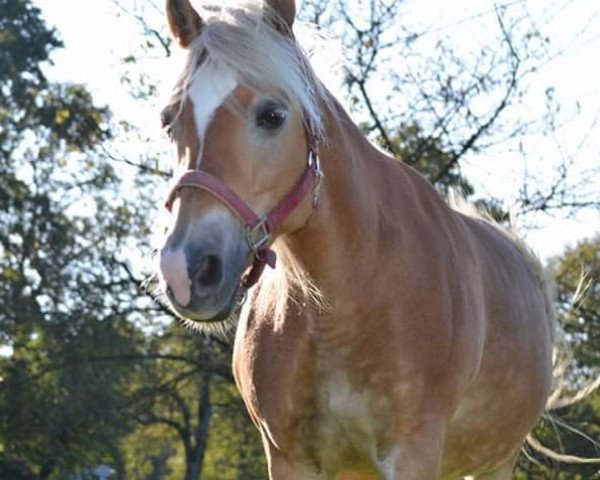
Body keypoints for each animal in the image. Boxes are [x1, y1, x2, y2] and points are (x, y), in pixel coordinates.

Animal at [157, 1, 556, 478]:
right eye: (168, 122)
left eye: (272, 115)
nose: (186, 270)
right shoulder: (288, 457)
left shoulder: (413, 451)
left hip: (495, 461)